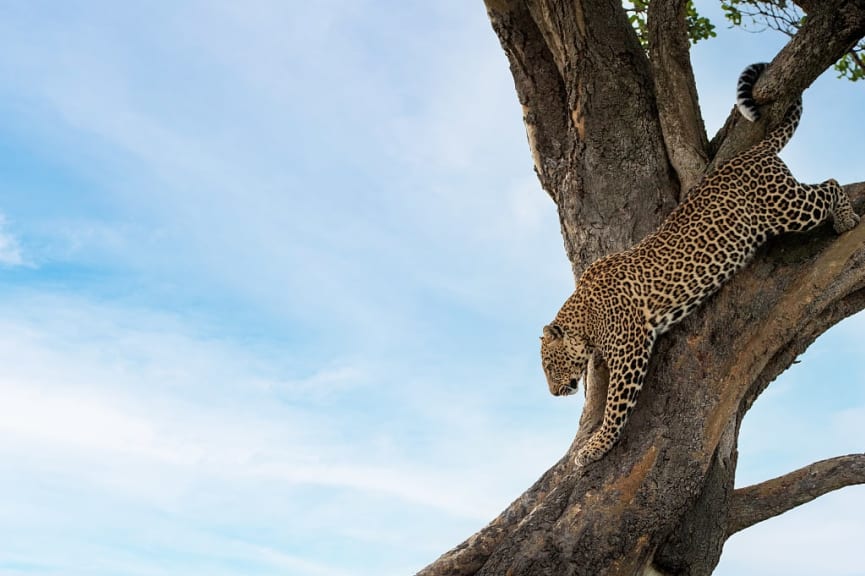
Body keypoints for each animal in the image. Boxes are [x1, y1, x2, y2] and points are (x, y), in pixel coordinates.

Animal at [540, 63, 856, 468]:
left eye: (550, 366)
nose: (553, 393)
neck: (585, 317)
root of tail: (749, 154)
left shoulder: (631, 349)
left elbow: (614, 407)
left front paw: (595, 448)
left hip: (787, 207)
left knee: (830, 185)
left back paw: (846, 218)